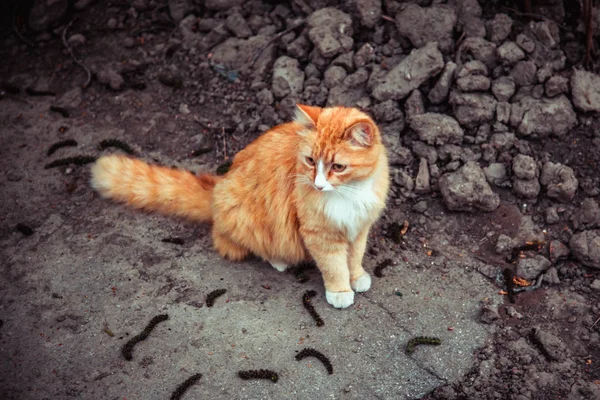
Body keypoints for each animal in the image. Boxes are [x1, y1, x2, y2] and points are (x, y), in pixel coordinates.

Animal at [89, 104, 390, 308]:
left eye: (337, 167)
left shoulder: (359, 228)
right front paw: (340, 291)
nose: (317, 185)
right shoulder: (320, 235)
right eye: (310, 161)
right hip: (242, 215)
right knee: (239, 243)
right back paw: (279, 260)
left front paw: (356, 277)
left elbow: (353, 259)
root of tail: (218, 186)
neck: (349, 193)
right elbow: (334, 265)